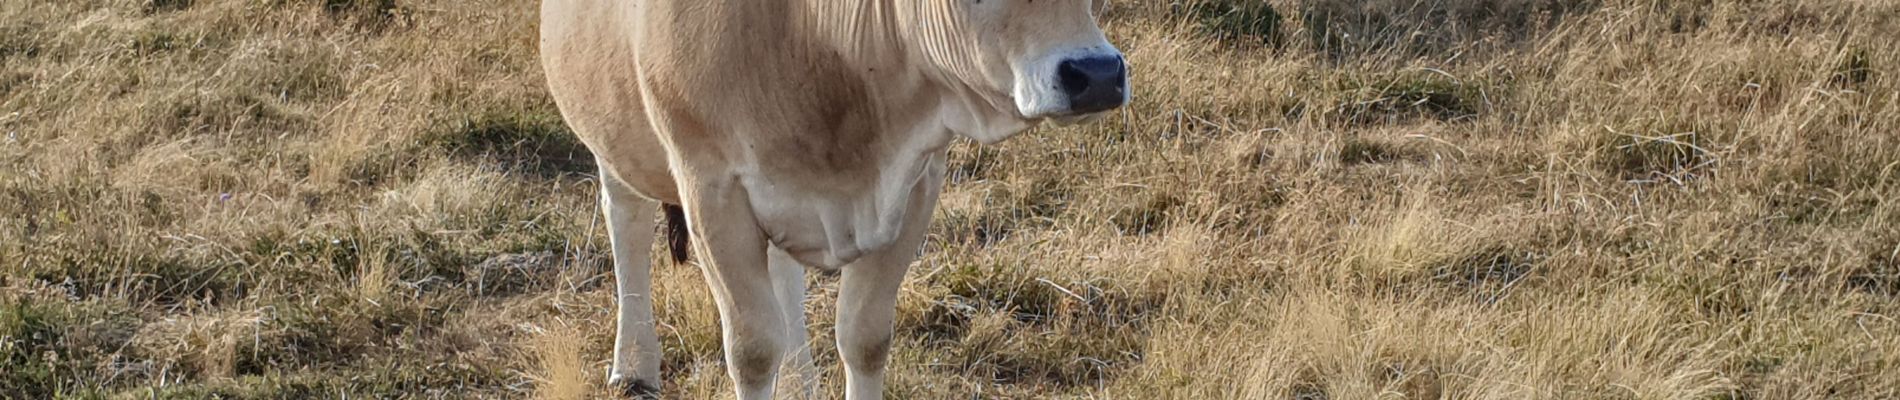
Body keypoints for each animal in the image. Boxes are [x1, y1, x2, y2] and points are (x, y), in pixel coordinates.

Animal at [535, 0, 1124, 396]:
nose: (1097, 74)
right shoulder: (712, 190)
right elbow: (752, 350)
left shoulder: (917, 182)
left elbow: (865, 338)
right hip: (613, 135)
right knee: (627, 226)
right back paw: (634, 367)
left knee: (782, 275)